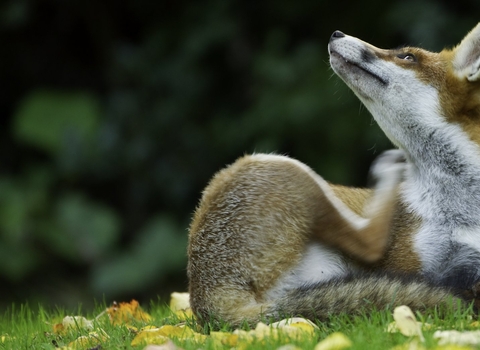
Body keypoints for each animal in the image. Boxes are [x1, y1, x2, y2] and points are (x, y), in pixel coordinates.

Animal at [187, 23, 480, 326]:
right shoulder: (406, 264)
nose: (336, 34)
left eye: (407, 57)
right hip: (285, 168)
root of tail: (206, 300)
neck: (460, 211)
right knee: (369, 242)